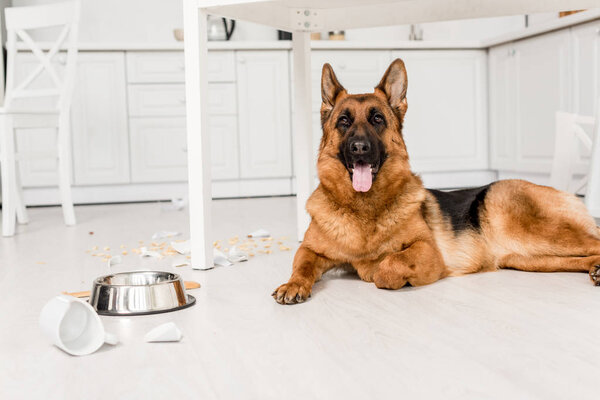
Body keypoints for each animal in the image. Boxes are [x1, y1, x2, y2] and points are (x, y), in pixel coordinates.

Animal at [274, 58, 600, 304]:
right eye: (344, 121)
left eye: (377, 119)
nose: (359, 148)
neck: (363, 209)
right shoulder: (310, 250)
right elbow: (301, 263)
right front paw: (293, 284)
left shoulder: (426, 250)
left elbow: (388, 266)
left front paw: (379, 270)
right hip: (527, 257)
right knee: (581, 256)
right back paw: (595, 269)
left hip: (527, 227)